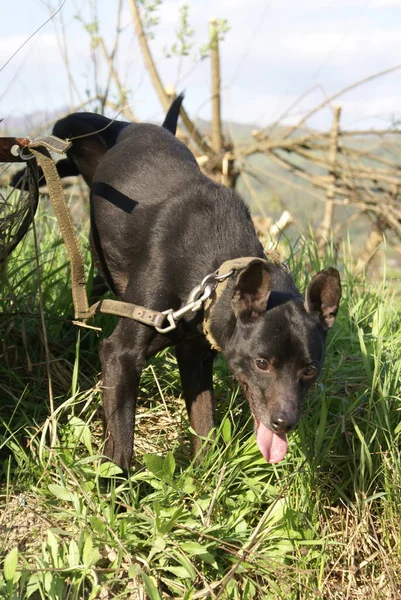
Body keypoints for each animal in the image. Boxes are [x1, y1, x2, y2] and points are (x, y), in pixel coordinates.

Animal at [14, 97, 340, 468]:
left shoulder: (195, 353)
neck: (211, 275)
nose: (284, 422)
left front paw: (202, 475)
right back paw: (24, 175)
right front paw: (115, 481)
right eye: (262, 363)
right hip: (73, 127)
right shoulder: (121, 355)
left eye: (310, 370)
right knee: (61, 152)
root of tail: (138, 127)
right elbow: (121, 441)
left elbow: (205, 425)